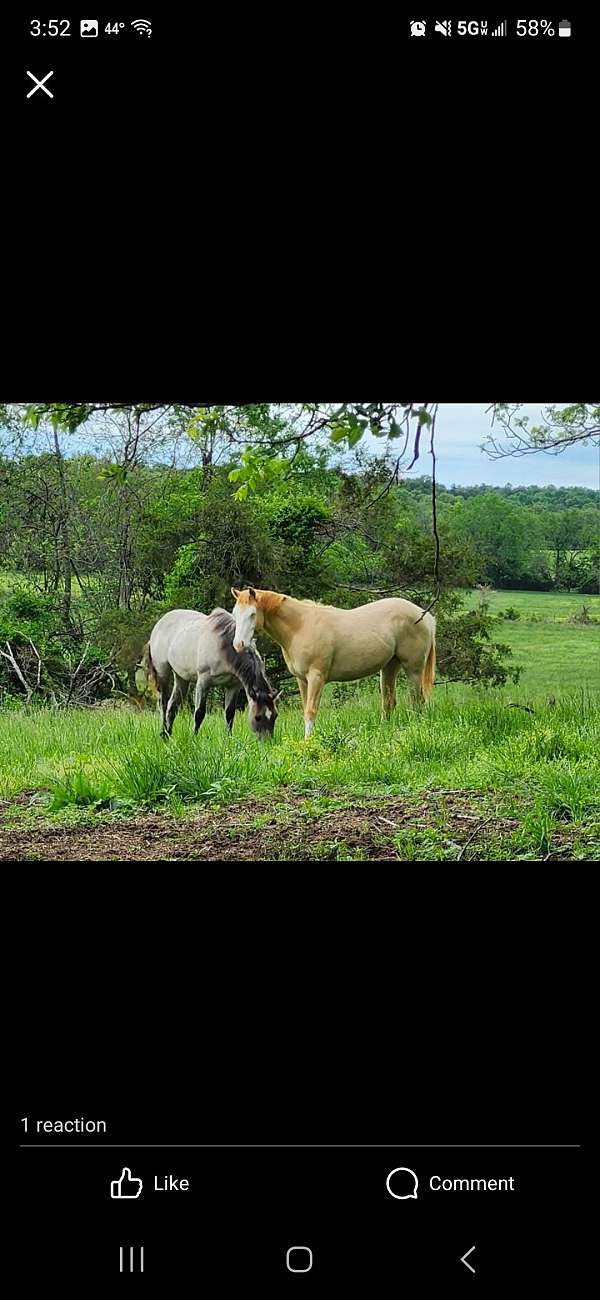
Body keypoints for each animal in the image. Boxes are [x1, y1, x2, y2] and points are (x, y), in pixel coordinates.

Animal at [141, 608, 280, 743]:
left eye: (275, 715)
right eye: (257, 717)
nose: (268, 743)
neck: (224, 646)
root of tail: (159, 624)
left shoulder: (233, 686)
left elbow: (230, 714)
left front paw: (228, 739)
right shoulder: (203, 682)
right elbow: (199, 713)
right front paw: (194, 739)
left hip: (182, 678)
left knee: (172, 706)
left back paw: (168, 735)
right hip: (163, 673)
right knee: (163, 704)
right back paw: (163, 734)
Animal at [231, 592, 436, 738]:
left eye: (252, 614)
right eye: (234, 613)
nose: (238, 644)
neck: (301, 626)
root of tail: (426, 617)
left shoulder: (316, 677)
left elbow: (310, 711)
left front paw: (308, 742)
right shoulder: (302, 680)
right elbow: (305, 709)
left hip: (413, 670)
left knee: (417, 701)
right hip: (389, 668)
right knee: (389, 703)